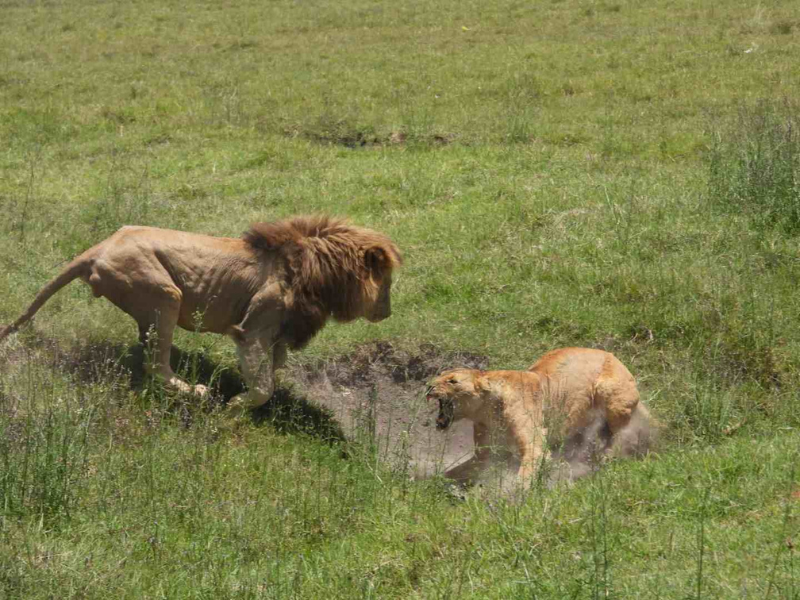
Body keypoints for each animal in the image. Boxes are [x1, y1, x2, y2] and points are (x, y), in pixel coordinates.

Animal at [0, 215, 402, 413]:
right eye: (387, 284)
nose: (388, 313)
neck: (319, 272)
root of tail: (98, 249)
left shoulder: (278, 335)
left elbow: (272, 372)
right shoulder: (254, 327)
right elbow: (263, 387)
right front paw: (234, 409)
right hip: (166, 295)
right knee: (155, 364)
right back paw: (196, 392)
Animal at [426, 348, 648, 488]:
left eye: (452, 381)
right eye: (441, 374)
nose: (428, 386)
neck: (486, 411)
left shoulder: (533, 437)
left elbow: (530, 463)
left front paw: (512, 494)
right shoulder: (485, 451)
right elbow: (462, 469)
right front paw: (433, 483)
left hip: (611, 392)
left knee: (622, 433)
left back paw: (606, 456)